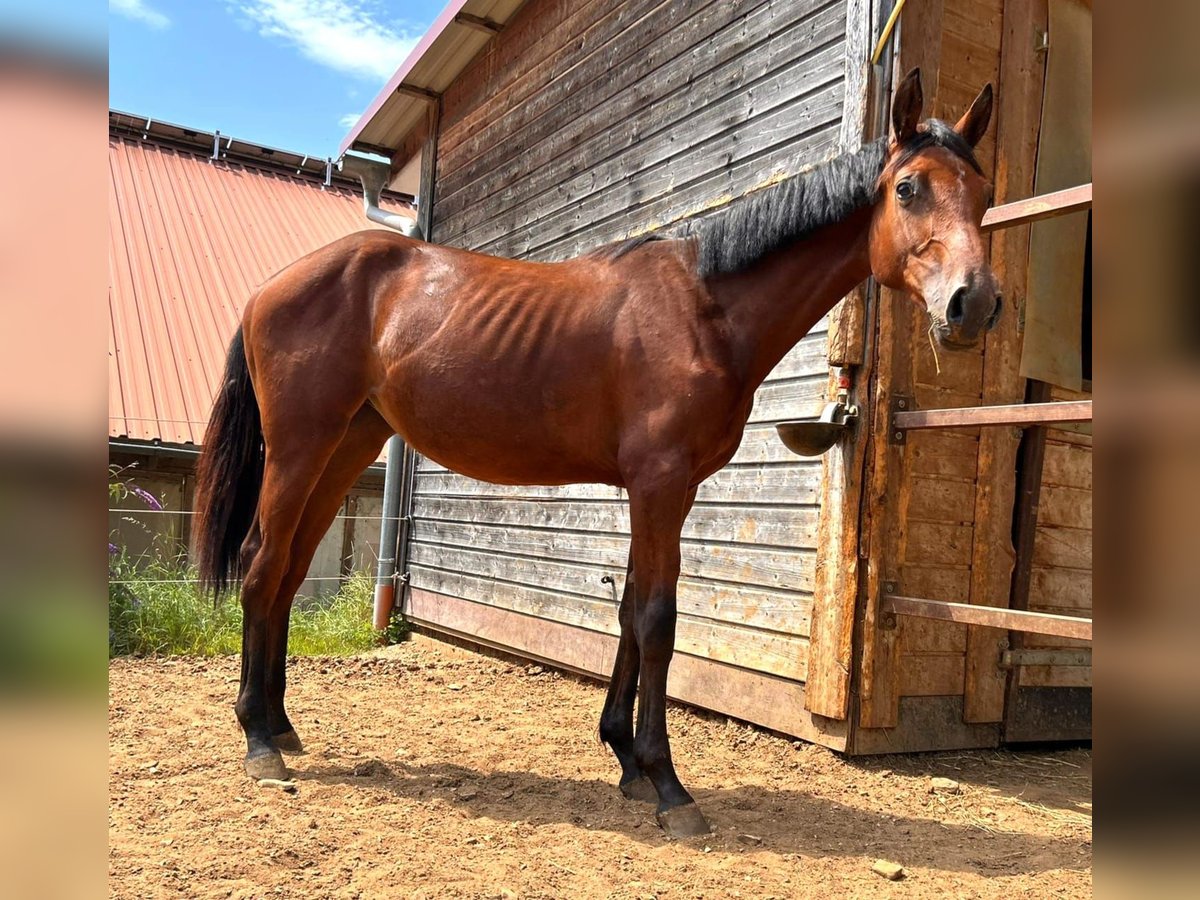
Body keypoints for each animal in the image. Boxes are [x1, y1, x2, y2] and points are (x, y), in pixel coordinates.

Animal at [196, 70, 998, 840]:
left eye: (985, 193)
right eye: (908, 188)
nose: (975, 305)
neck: (704, 309)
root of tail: (269, 288)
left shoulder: (666, 489)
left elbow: (629, 610)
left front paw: (625, 758)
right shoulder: (660, 484)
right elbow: (656, 619)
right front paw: (668, 785)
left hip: (344, 446)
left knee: (289, 571)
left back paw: (281, 725)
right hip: (299, 449)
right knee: (263, 564)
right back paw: (258, 742)